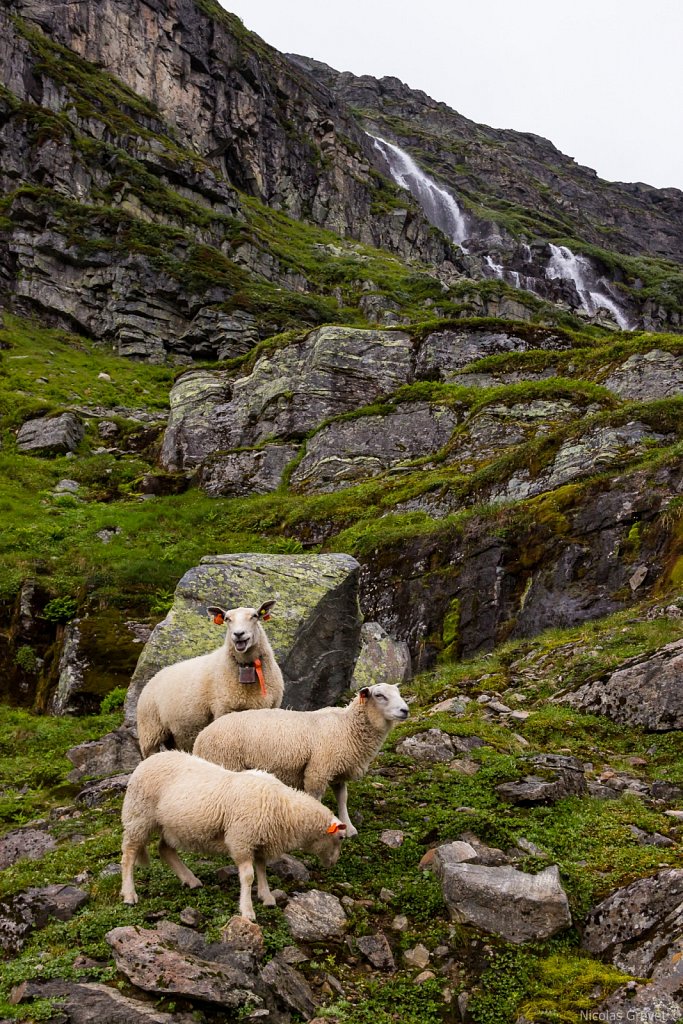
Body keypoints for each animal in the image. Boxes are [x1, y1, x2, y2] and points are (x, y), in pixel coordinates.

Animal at [118, 745, 348, 921]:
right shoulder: (241, 840)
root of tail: (149, 760)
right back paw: (129, 894)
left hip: (172, 826)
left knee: (165, 850)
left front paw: (266, 897)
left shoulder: (259, 841)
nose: (334, 863)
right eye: (340, 837)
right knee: (129, 854)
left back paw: (190, 880)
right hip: (139, 816)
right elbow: (248, 876)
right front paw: (247, 910)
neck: (283, 807)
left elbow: (262, 869)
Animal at [135, 598, 284, 757]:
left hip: (174, 734)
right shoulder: (223, 710)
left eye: (255, 616)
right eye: (227, 619)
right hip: (150, 731)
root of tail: (153, 678)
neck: (247, 666)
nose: (238, 634)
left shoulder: (268, 708)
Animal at [192, 684, 409, 835]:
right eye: (379, 695)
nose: (405, 710)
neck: (346, 726)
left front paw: (349, 827)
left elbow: (342, 798)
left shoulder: (337, 770)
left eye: (398, 693)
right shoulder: (318, 770)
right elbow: (316, 798)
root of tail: (200, 737)